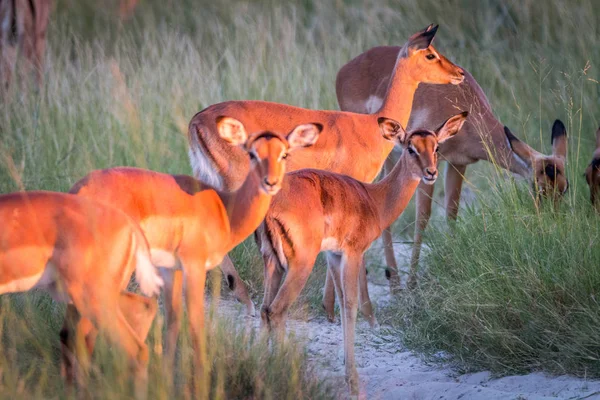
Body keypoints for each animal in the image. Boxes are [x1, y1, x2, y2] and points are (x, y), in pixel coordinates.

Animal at [258, 111, 468, 396]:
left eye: (436, 147)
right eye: (411, 148)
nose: (431, 172)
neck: (373, 199)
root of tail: (273, 207)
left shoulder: (334, 256)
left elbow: (340, 304)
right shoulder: (354, 253)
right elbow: (350, 306)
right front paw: (354, 382)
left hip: (273, 264)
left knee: (263, 309)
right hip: (300, 265)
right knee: (276, 311)